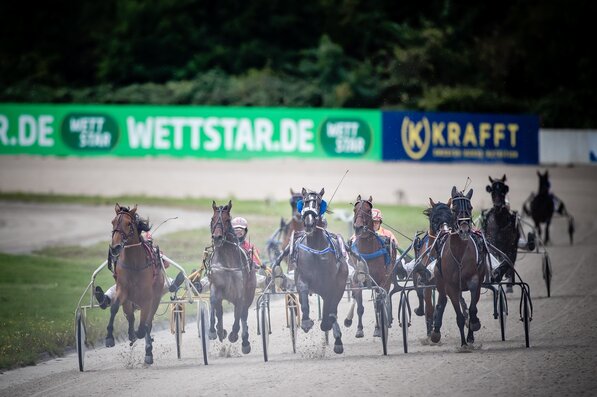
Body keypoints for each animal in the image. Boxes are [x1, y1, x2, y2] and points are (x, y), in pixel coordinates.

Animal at [109, 204, 163, 366]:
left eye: (128, 224)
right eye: (113, 222)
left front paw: (145, 341)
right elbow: (115, 308)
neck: (134, 264)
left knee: (148, 323)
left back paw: (148, 350)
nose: (115, 247)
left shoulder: (148, 298)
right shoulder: (123, 290)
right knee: (131, 317)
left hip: (156, 297)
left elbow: (145, 324)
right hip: (128, 302)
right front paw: (109, 338)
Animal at [206, 201, 255, 352]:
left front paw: (233, 334)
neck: (227, 259)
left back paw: (245, 341)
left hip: (250, 293)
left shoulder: (240, 292)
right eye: (212, 219)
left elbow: (238, 313)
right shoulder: (216, 286)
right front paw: (216, 330)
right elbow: (216, 307)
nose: (217, 237)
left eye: (227, 220)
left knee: (243, 313)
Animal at [344, 193, 396, 336]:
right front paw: (359, 329)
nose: (358, 227)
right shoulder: (357, 281)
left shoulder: (380, 282)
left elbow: (378, 304)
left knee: (381, 299)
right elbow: (360, 306)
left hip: (387, 279)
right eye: (355, 210)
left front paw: (378, 329)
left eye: (368, 210)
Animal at [430, 187, 486, 348]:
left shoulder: (475, 280)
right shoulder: (451, 286)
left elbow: (472, 308)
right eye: (454, 209)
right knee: (442, 301)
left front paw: (473, 326)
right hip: (440, 280)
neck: (459, 254)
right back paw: (436, 331)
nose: (464, 230)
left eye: (470, 207)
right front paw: (463, 344)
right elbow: (459, 316)